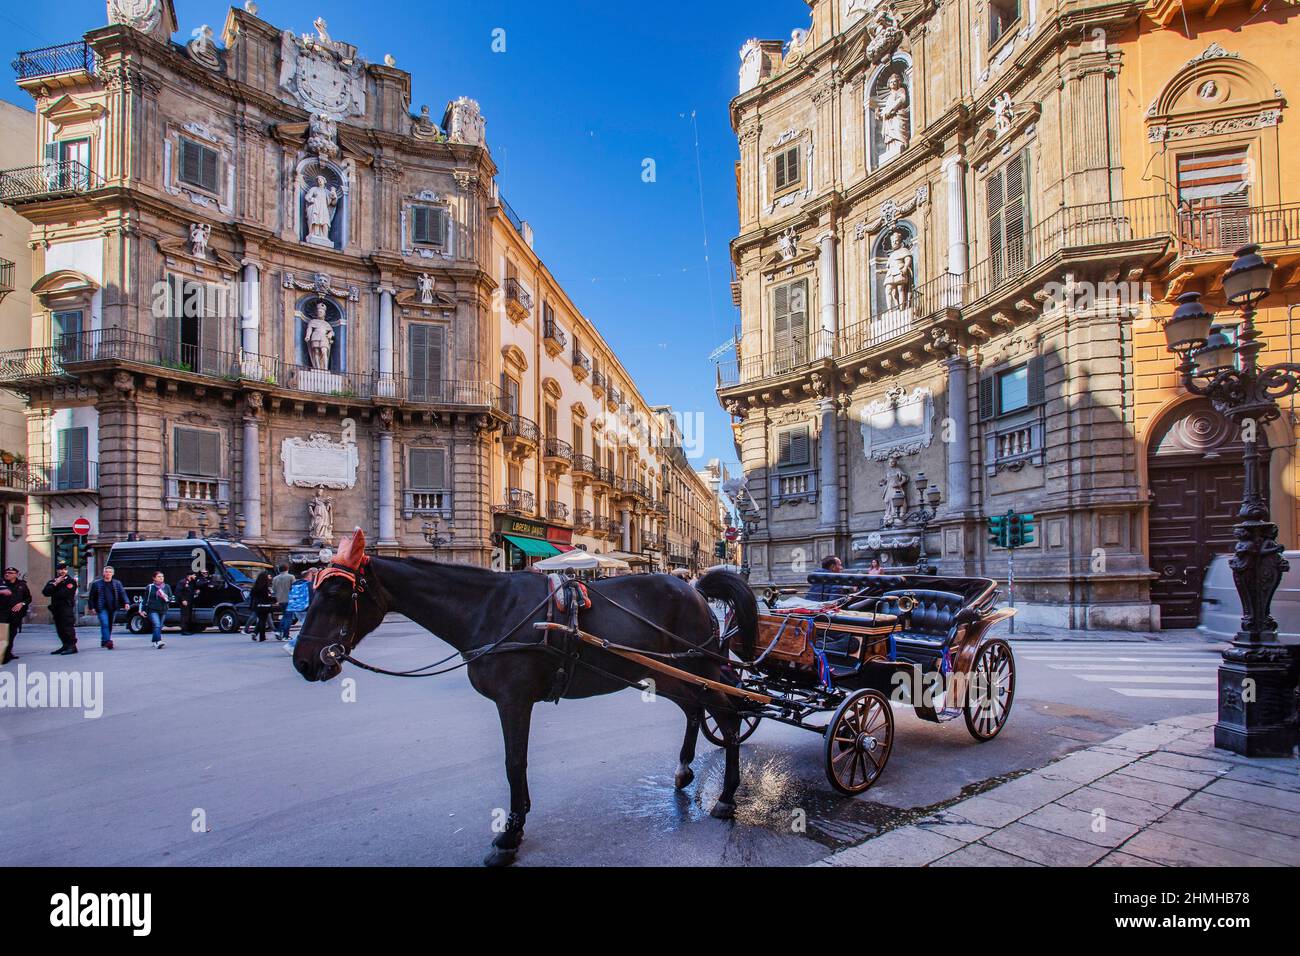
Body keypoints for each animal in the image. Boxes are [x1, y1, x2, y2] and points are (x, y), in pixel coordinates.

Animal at [292, 530, 759, 868]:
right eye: (312, 588)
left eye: (336, 595)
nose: (303, 662)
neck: (489, 609)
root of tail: (695, 587)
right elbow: (515, 762)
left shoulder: (513, 700)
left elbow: (514, 762)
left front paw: (510, 834)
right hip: (669, 673)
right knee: (697, 710)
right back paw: (684, 770)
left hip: (699, 665)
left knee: (729, 713)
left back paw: (726, 795)